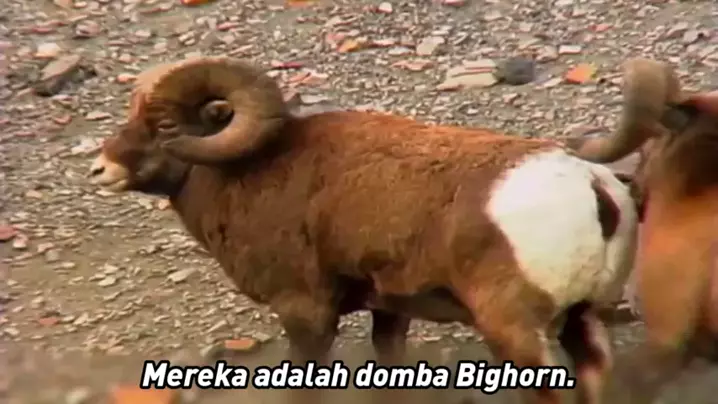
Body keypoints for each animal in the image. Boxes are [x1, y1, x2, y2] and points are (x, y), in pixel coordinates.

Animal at [86, 56, 638, 404]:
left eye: (164, 127)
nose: (100, 169)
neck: (249, 173)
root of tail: (593, 189)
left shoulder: (306, 313)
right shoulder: (389, 310)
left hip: (516, 334)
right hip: (581, 320)